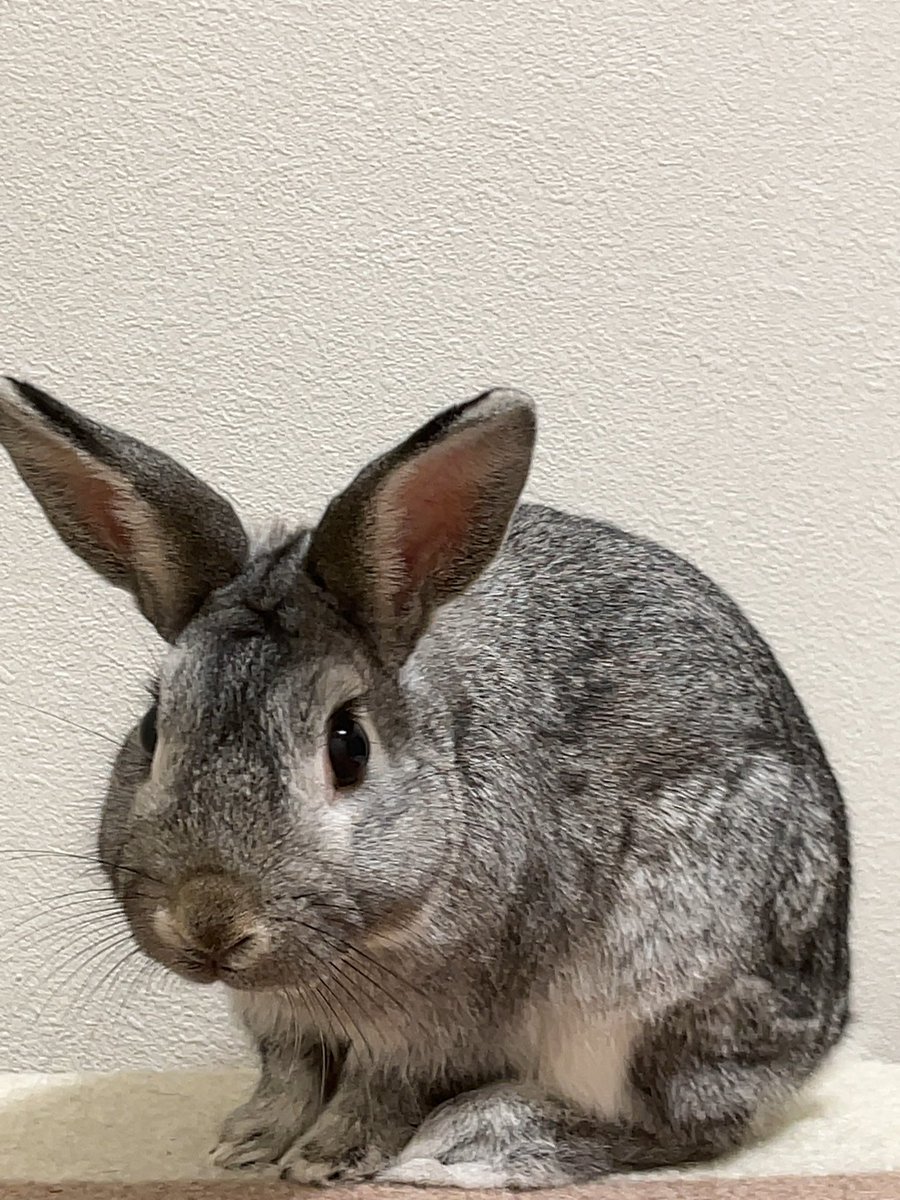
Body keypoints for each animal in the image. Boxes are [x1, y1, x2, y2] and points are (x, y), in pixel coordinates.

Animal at [0, 374, 850, 1189]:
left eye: (348, 746)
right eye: (151, 727)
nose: (209, 921)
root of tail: (821, 1045)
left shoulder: (427, 1027)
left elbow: (379, 1088)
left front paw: (327, 1158)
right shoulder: (283, 1027)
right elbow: (289, 1079)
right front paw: (250, 1146)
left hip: (646, 991)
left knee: (681, 1125)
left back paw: (477, 1146)